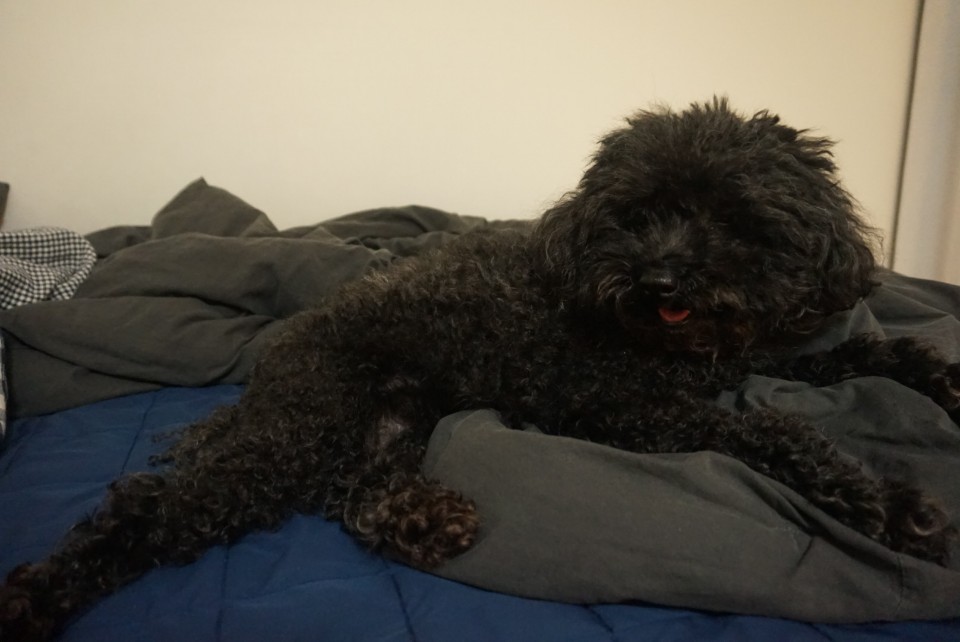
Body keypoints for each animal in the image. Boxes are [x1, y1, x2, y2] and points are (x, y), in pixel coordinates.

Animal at [2, 98, 958, 641]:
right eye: (637, 214)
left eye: (731, 217)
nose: (658, 280)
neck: (677, 344)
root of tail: (276, 357)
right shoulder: (622, 407)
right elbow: (770, 428)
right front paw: (887, 503)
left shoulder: (756, 351)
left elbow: (855, 353)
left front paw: (936, 374)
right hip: (297, 428)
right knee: (149, 507)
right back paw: (41, 593)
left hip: (397, 419)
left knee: (359, 494)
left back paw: (423, 520)